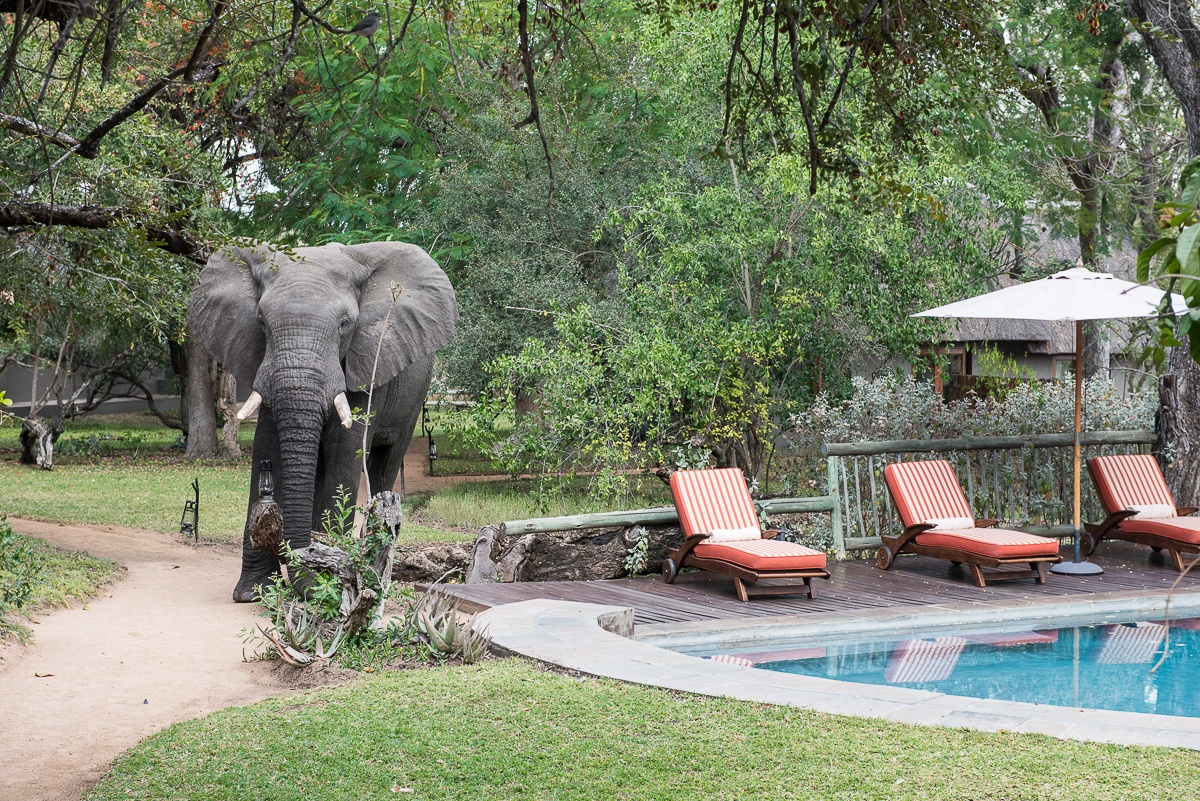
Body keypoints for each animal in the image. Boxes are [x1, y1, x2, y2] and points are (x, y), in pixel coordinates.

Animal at [188, 241, 458, 602]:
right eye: (261, 322)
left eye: (344, 324)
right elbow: (265, 445)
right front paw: (254, 594)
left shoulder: (364, 363)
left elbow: (342, 452)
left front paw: (325, 581)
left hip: (415, 394)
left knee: (384, 465)